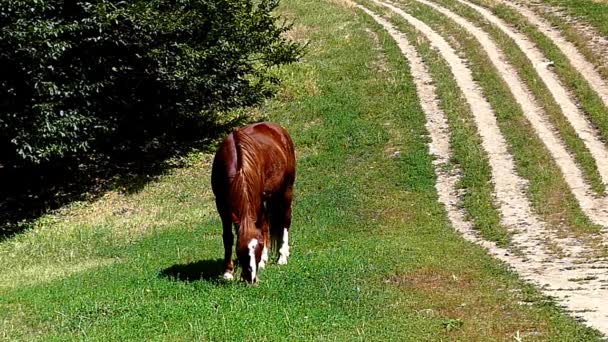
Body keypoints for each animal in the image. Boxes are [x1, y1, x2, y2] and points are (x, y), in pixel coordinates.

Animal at [210, 121, 296, 282]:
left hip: (286, 189)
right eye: (240, 248)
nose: (250, 278)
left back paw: (282, 256)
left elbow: (262, 228)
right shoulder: (221, 204)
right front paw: (228, 272)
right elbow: (228, 237)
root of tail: (278, 129)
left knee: (285, 221)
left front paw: (262, 261)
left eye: (259, 245)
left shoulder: (257, 198)